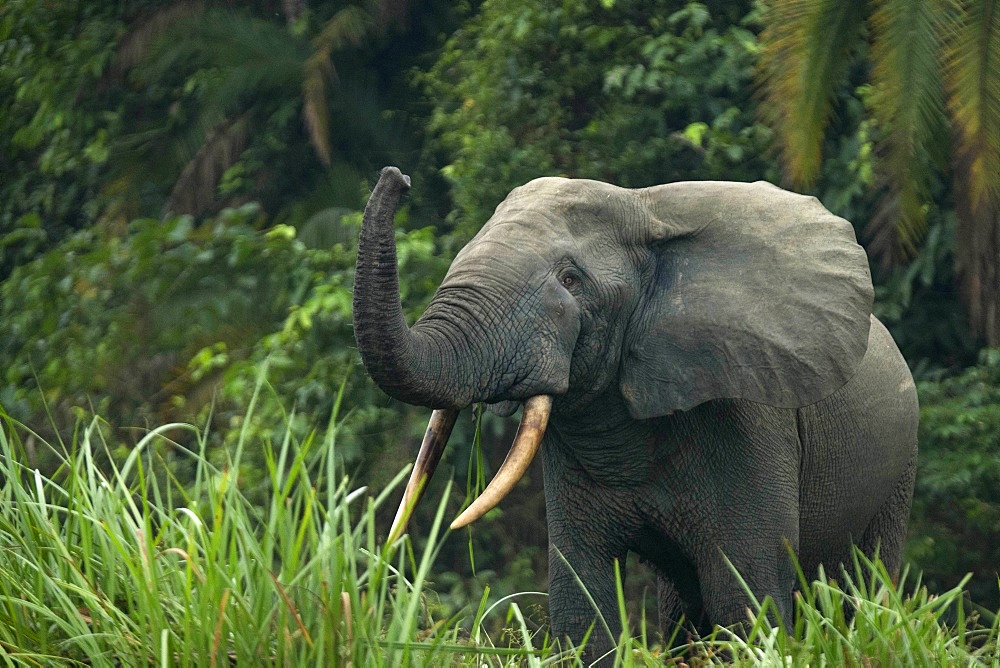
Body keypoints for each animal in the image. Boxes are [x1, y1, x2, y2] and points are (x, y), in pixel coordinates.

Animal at [350, 167, 916, 664]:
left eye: (571, 278)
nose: (398, 178)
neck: (646, 210)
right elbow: (582, 597)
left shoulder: (748, 419)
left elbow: (745, 593)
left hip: (900, 467)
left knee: (865, 582)